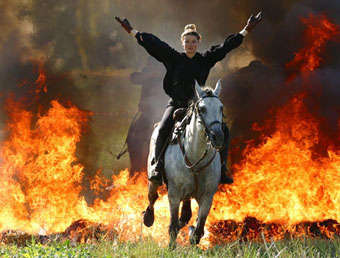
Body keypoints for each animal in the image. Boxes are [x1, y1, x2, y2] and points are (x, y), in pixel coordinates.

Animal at [143, 80, 224, 246]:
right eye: (202, 109)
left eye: (221, 108)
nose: (217, 137)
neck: (195, 159)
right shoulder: (174, 195)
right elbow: (173, 227)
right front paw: (171, 247)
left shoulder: (207, 198)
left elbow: (198, 230)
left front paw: (192, 233)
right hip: (153, 179)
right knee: (152, 196)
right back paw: (148, 217)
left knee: (186, 213)